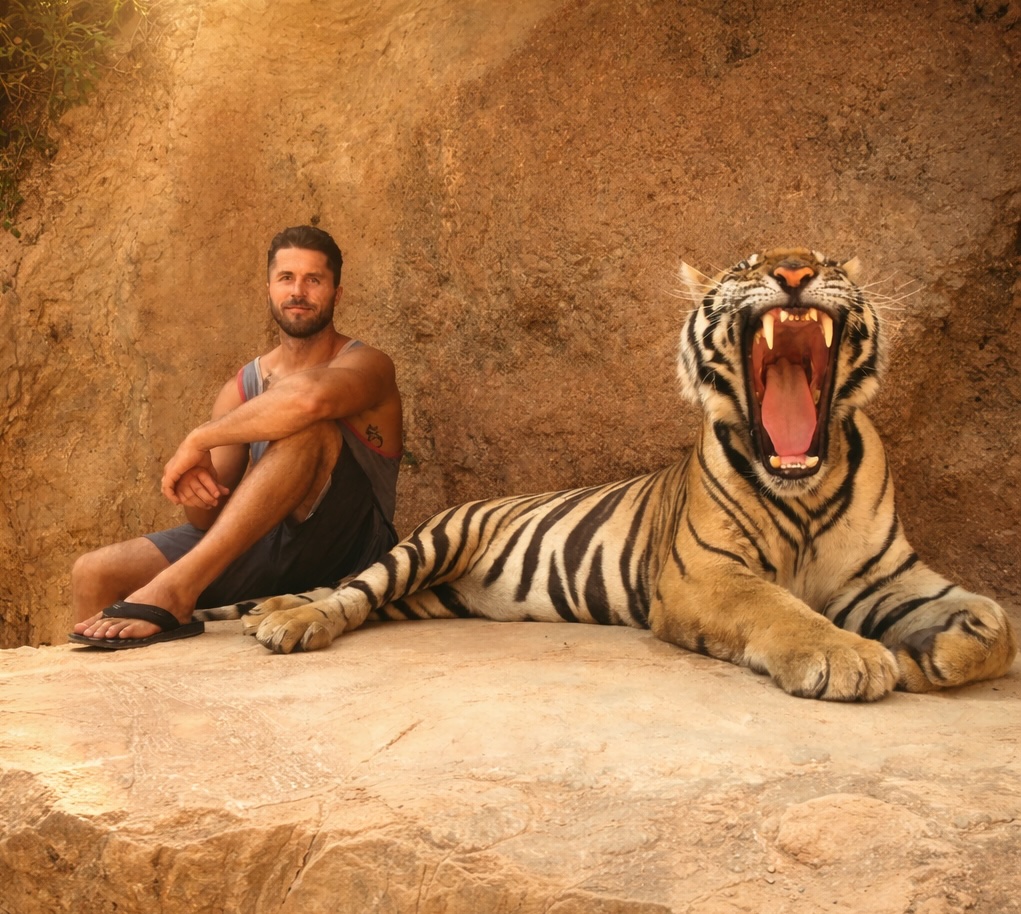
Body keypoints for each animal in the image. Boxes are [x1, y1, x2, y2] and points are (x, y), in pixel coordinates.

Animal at [215, 248, 1017, 701]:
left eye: (824, 261)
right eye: (747, 267)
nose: (795, 275)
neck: (806, 478)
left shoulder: (887, 574)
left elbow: (995, 622)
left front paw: (929, 653)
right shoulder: (706, 574)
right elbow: (782, 610)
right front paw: (846, 655)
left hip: (427, 596)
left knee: (362, 597)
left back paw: (268, 610)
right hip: (426, 548)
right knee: (351, 591)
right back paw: (288, 623)